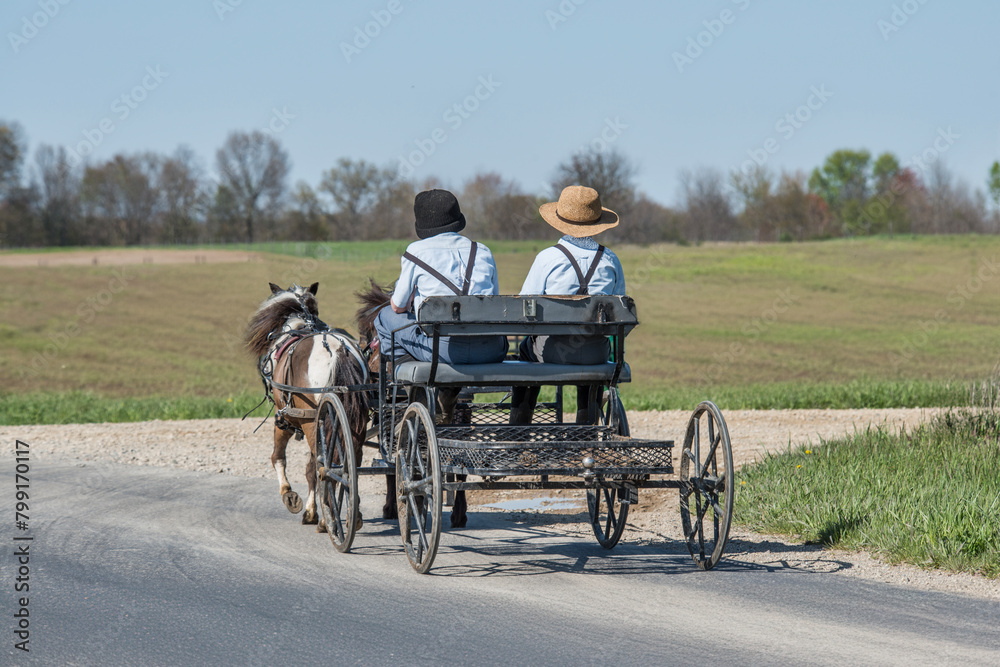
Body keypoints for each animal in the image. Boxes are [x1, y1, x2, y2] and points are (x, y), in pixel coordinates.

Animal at [246, 282, 372, 532]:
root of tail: (337, 350)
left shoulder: (284, 417)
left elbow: (278, 457)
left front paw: (290, 496)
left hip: (311, 420)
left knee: (322, 465)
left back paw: (324, 518)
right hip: (354, 422)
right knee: (352, 461)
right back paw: (353, 516)